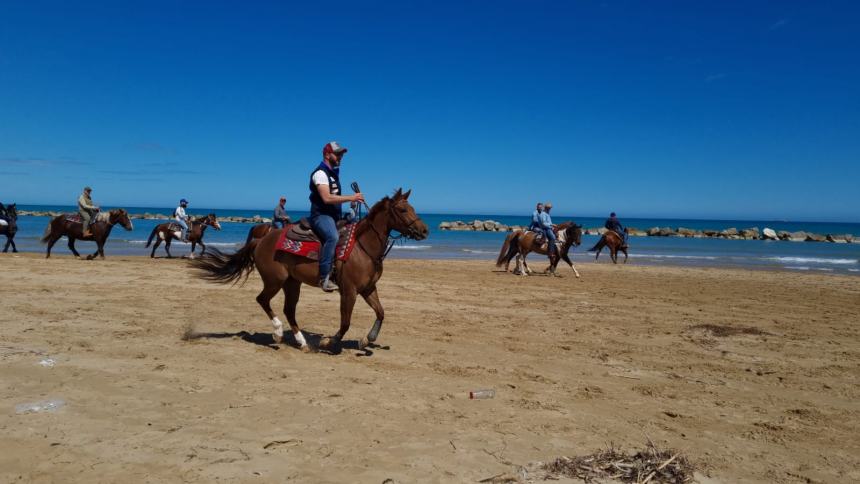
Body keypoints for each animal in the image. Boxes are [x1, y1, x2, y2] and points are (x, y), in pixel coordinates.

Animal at [190, 191, 428, 354]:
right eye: (403, 209)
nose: (424, 230)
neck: (362, 247)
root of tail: (261, 240)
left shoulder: (368, 288)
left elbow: (381, 312)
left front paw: (367, 339)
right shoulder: (349, 291)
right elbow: (345, 322)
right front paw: (329, 341)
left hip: (292, 283)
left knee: (289, 310)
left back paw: (302, 342)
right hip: (275, 280)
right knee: (263, 300)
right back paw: (278, 332)